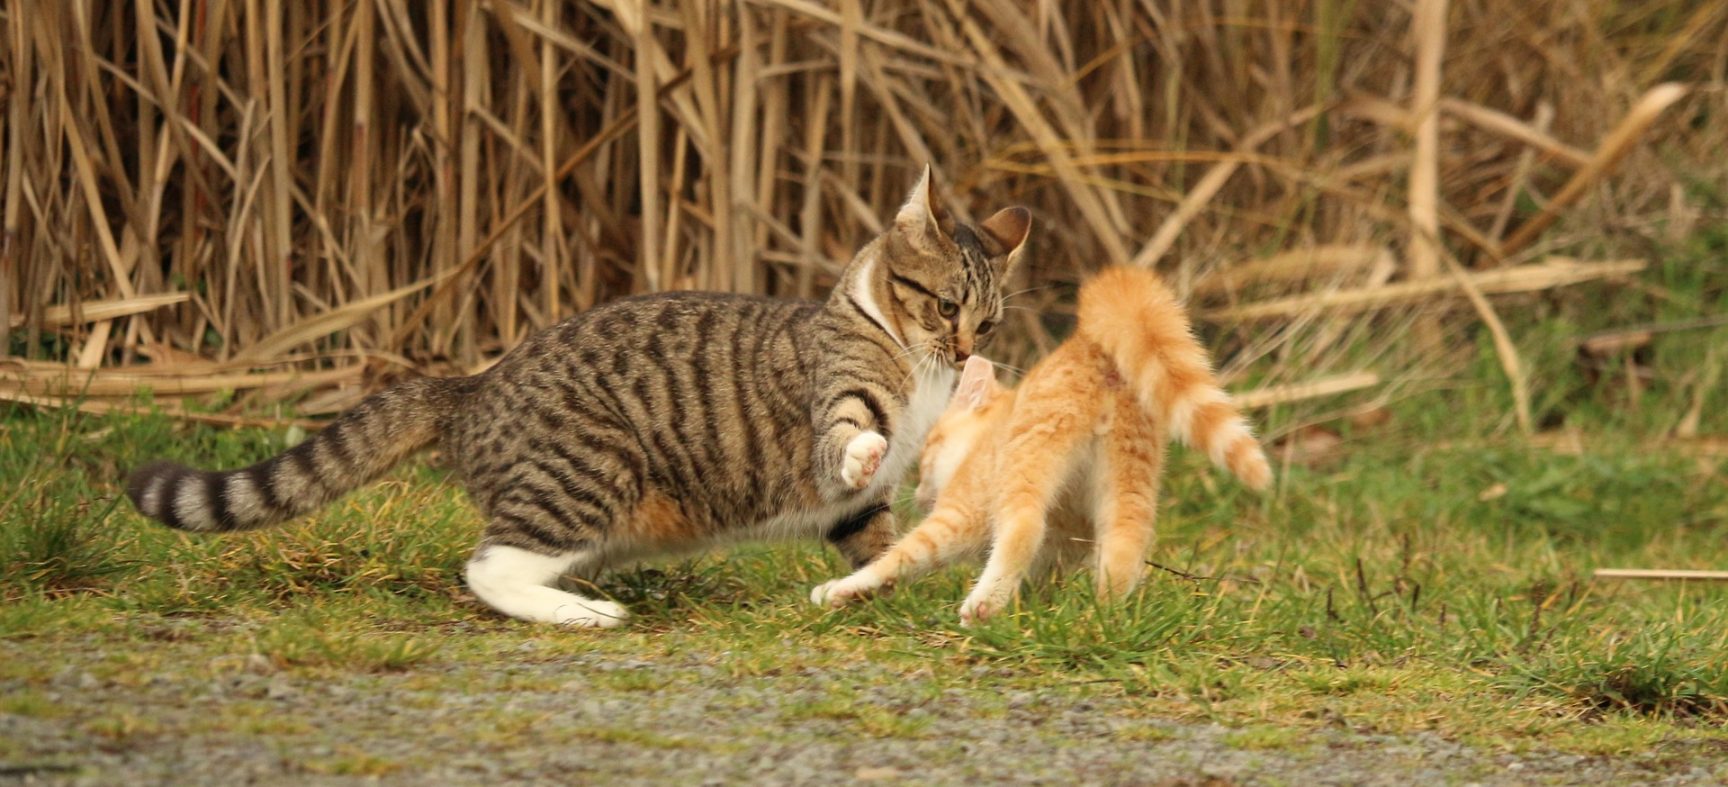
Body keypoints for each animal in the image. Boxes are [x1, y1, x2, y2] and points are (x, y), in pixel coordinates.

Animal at [134, 169, 1029, 633]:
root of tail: (473, 384)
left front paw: (875, 587)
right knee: (488, 566)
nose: (965, 352)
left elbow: (875, 543)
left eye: (986, 321)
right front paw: (867, 448)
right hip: (589, 467)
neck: (915, 367)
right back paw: (581, 613)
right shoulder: (838, 400)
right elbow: (847, 434)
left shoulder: (856, 510)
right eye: (944, 306)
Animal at [808, 268, 1271, 626]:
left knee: (1023, 526)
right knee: (1125, 546)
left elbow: (899, 558)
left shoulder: (964, 509)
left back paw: (983, 606)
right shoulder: (1065, 545)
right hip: (1130, 478)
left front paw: (841, 591)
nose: (920, 492)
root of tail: (1094, 350)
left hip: (1027, 460)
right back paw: (1101, 619)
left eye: (928, 453)